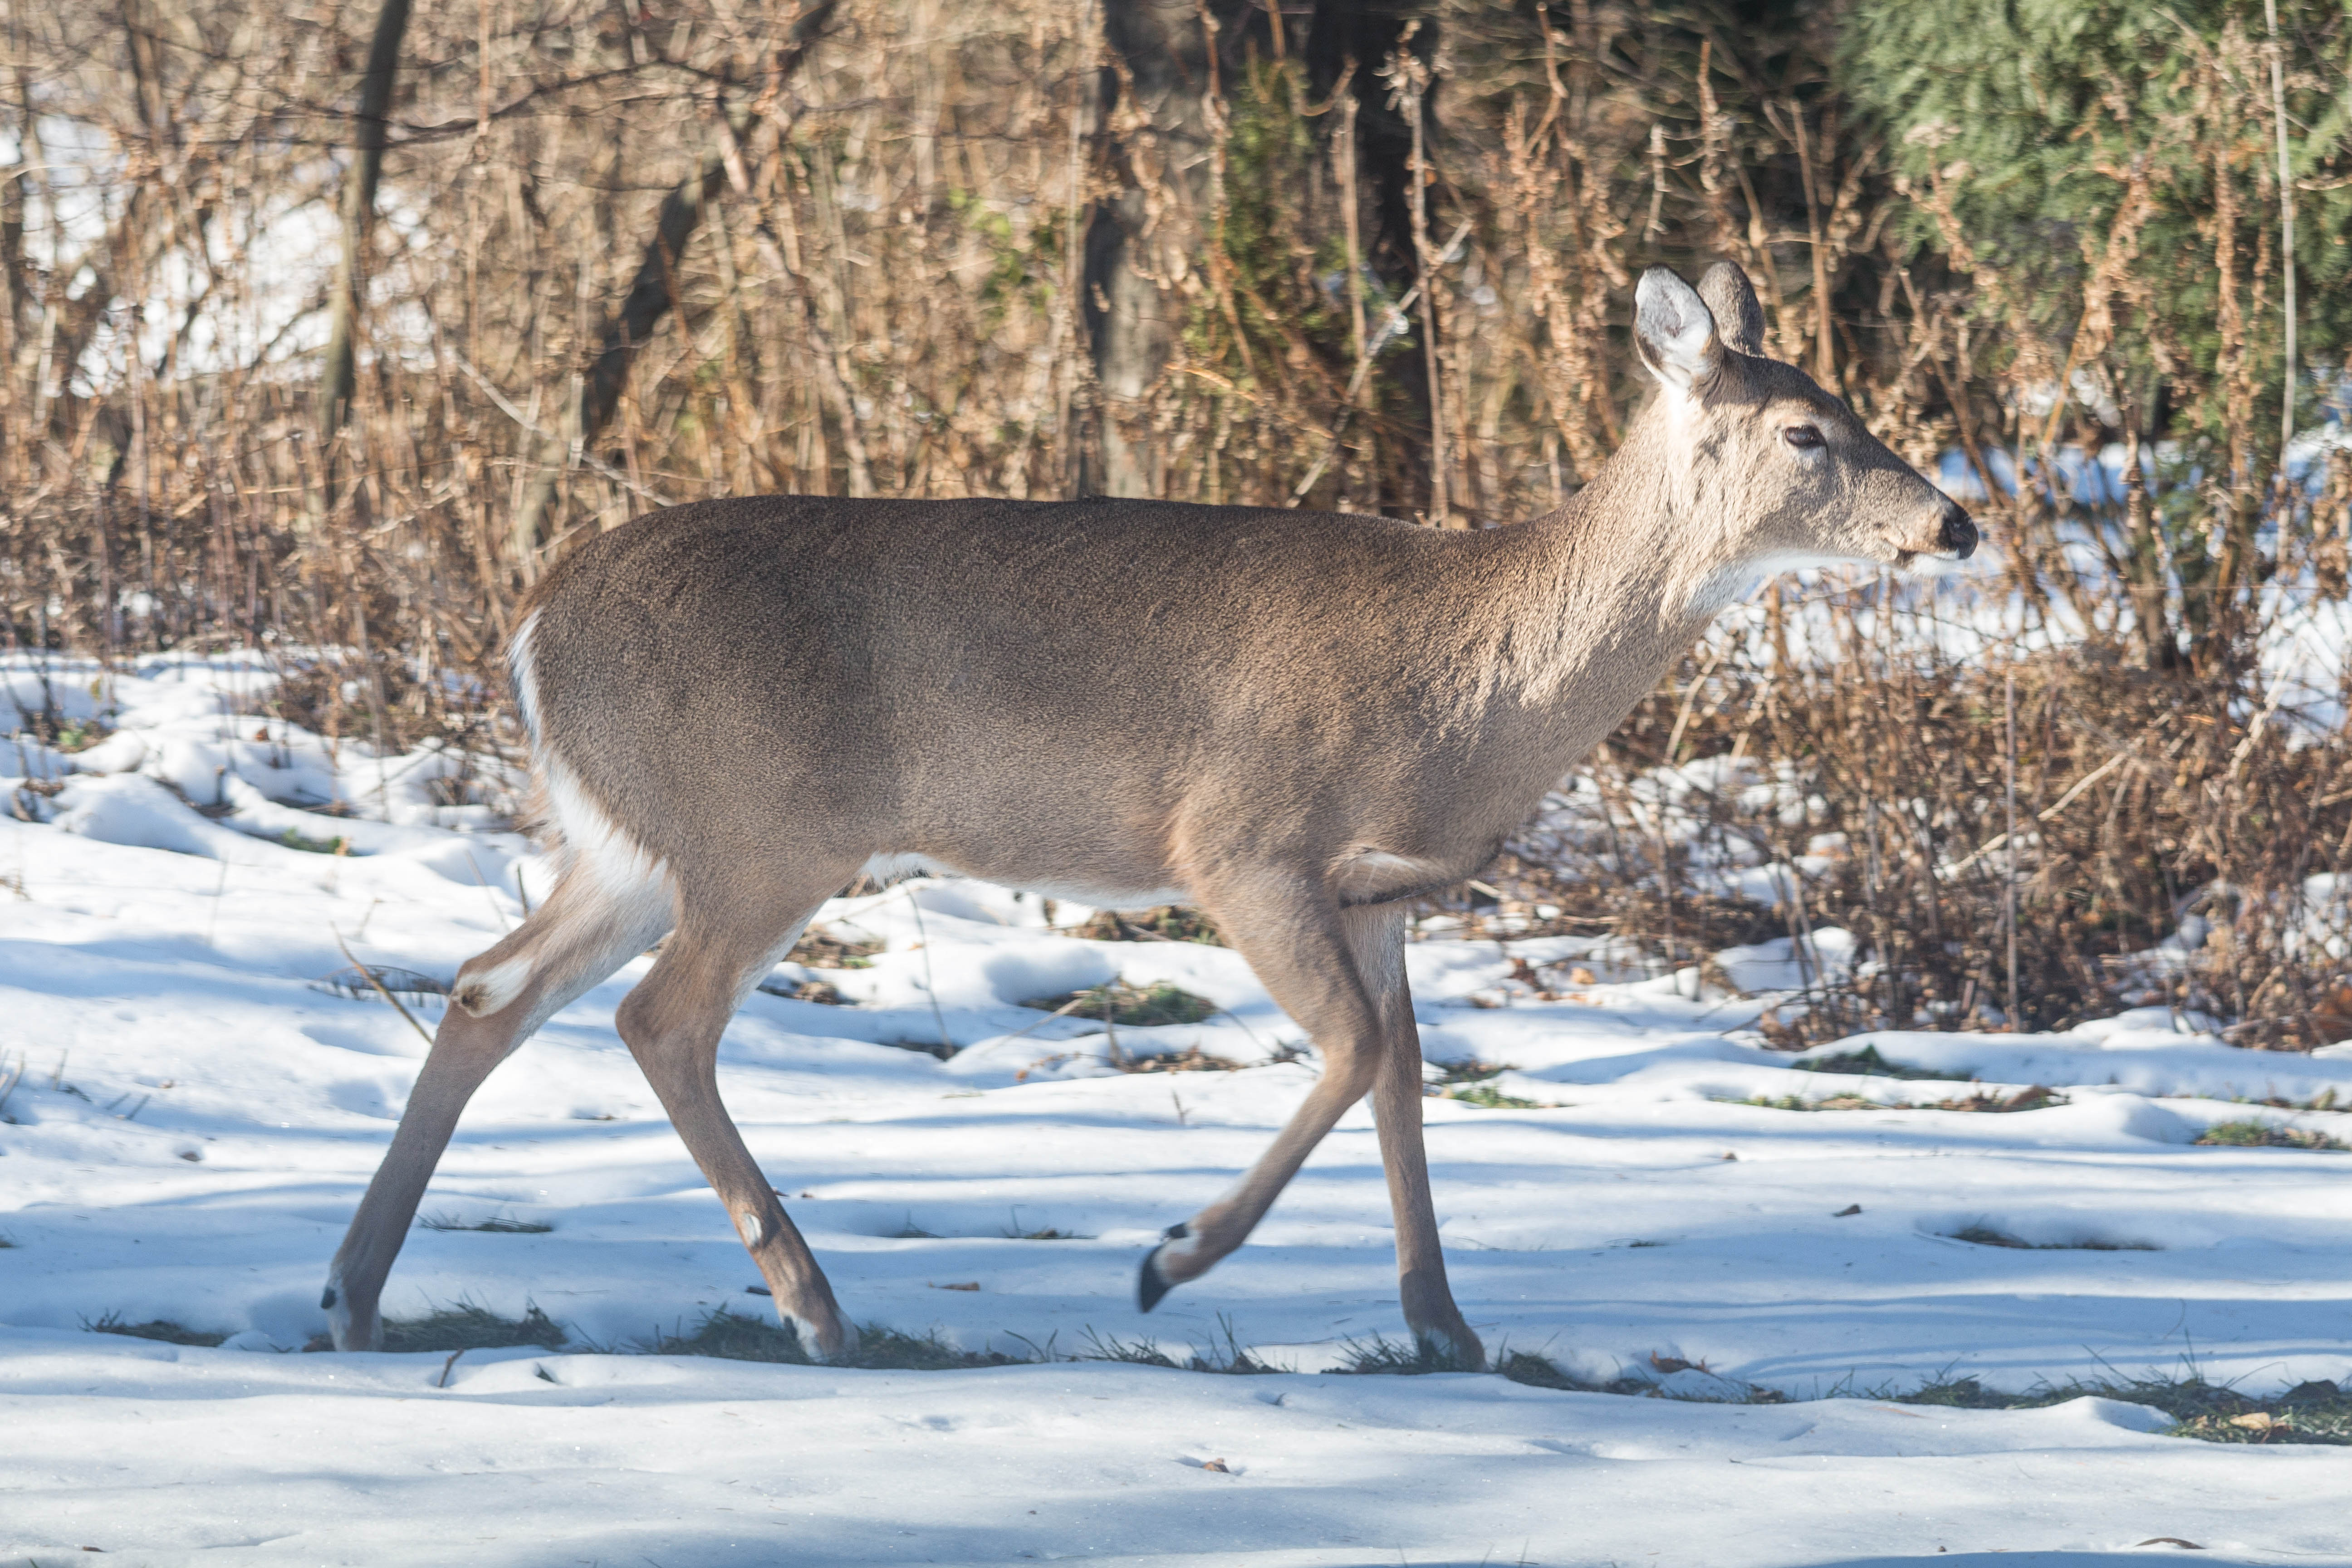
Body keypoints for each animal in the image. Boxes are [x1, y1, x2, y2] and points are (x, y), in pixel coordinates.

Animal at [317, 263, 1966, 1363]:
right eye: (1807, 433)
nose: (1954, 520)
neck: (1474, 687)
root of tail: (531, 626)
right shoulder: (1239, 841)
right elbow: (1354, 1052)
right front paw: (1173, 1259)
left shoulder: (1381, 890)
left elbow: (1403, 1072)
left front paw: (1444, 1325)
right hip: (757, 830)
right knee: (657, 1020)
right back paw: (817, 1307)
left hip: (631, 843)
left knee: (487, 987)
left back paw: (354, 1294)